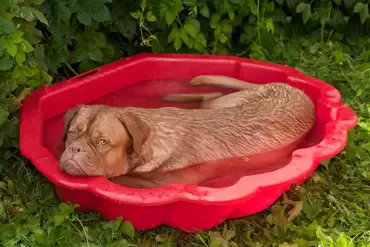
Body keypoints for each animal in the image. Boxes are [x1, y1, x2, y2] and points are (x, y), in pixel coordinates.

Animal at [58, 75, 316, 187]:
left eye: (102, 142)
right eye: (72, 133)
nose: (75, 149)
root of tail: (295, 89)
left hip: (221, 104)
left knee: (211, 95)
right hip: (223, 103)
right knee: (211, 95)